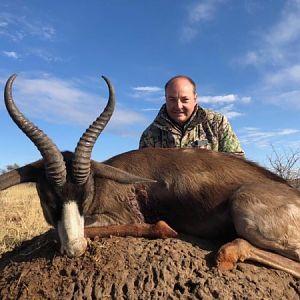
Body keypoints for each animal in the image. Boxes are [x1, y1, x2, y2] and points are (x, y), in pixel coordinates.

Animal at [0, 74, 300, 278]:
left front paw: (164, 228)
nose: (75, 249)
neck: (104, 183)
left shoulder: (121, 217)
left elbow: (56, 233)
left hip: (244, 206)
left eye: (85, 196)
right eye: (49, 198)